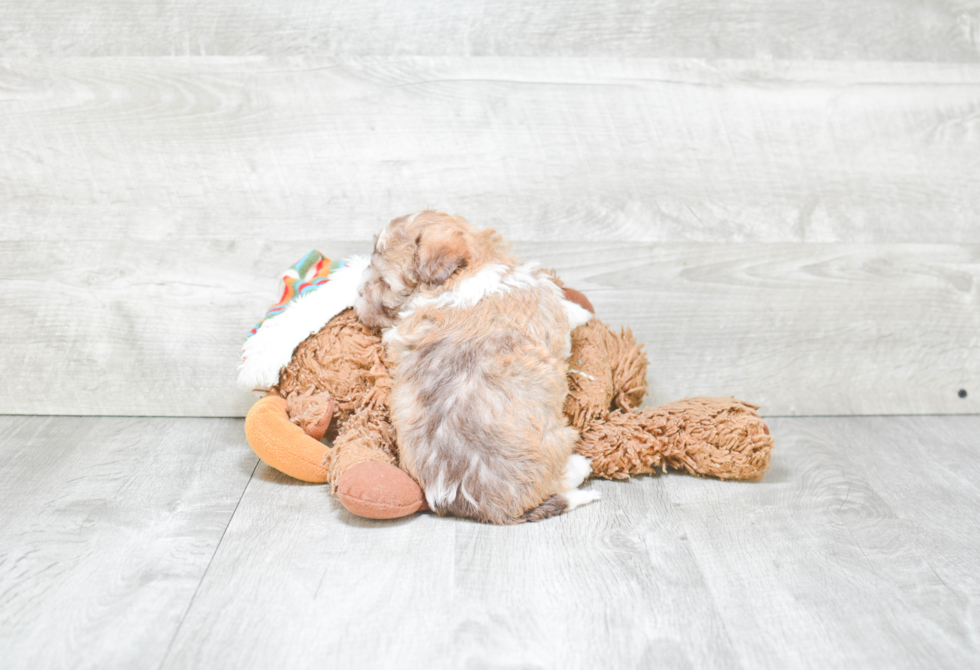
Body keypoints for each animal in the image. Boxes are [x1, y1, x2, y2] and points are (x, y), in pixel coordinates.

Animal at [352, 210, 596, 524]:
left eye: (383, 283)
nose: (357, 295)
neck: (466, 272)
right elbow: (565, 313)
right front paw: (582, 312)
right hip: (556, 441)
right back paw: (581, 466)